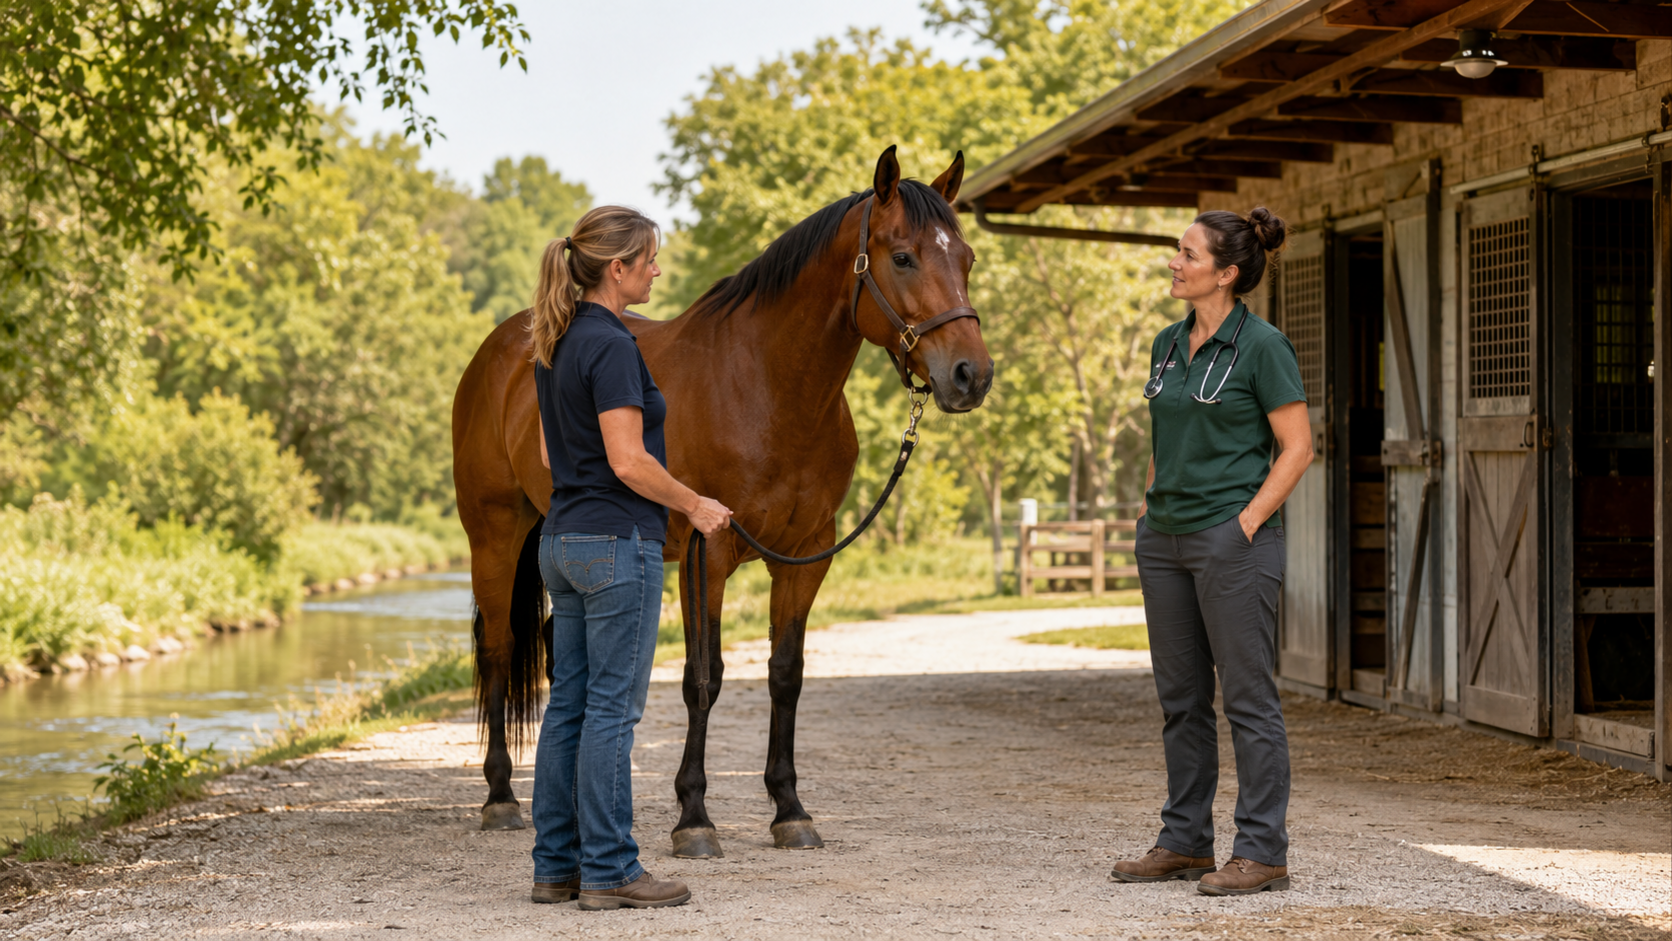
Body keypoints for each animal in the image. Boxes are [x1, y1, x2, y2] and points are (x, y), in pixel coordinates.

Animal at [451, 146, 993, 857]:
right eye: (902, 257)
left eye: (967, 258)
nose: (971, 375)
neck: (766, 387)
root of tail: (507, 344)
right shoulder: (708, 551)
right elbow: (702, 678)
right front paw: (694, 817)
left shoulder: (807, 555)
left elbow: (785, 673)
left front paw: (790, 809)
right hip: (494, 532)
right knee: (498, 647)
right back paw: (500, 798)